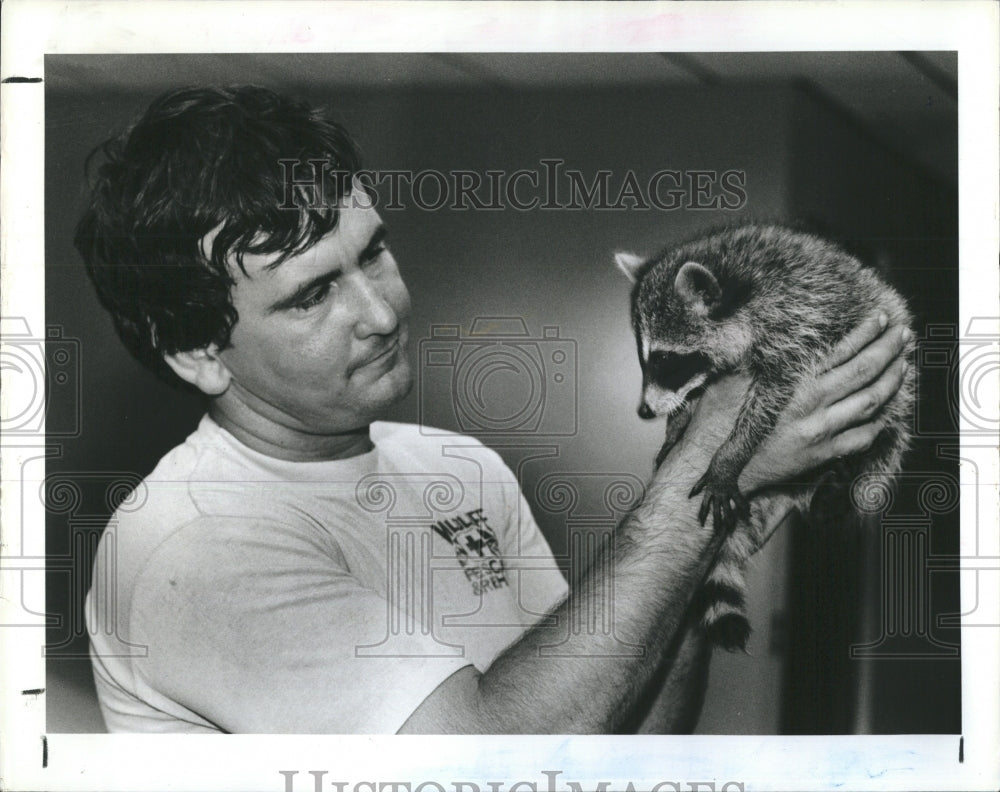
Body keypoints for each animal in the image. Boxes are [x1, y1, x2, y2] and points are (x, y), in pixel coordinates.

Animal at [616, 223, 916, 648]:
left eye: (665, 359)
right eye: (646, 360)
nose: (644, 411)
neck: (739, 288)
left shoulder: (798, 321)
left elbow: (770, 400)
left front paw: (729, 455)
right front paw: (676, 426)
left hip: (897, 396)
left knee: (887, 448)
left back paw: (842, 488)